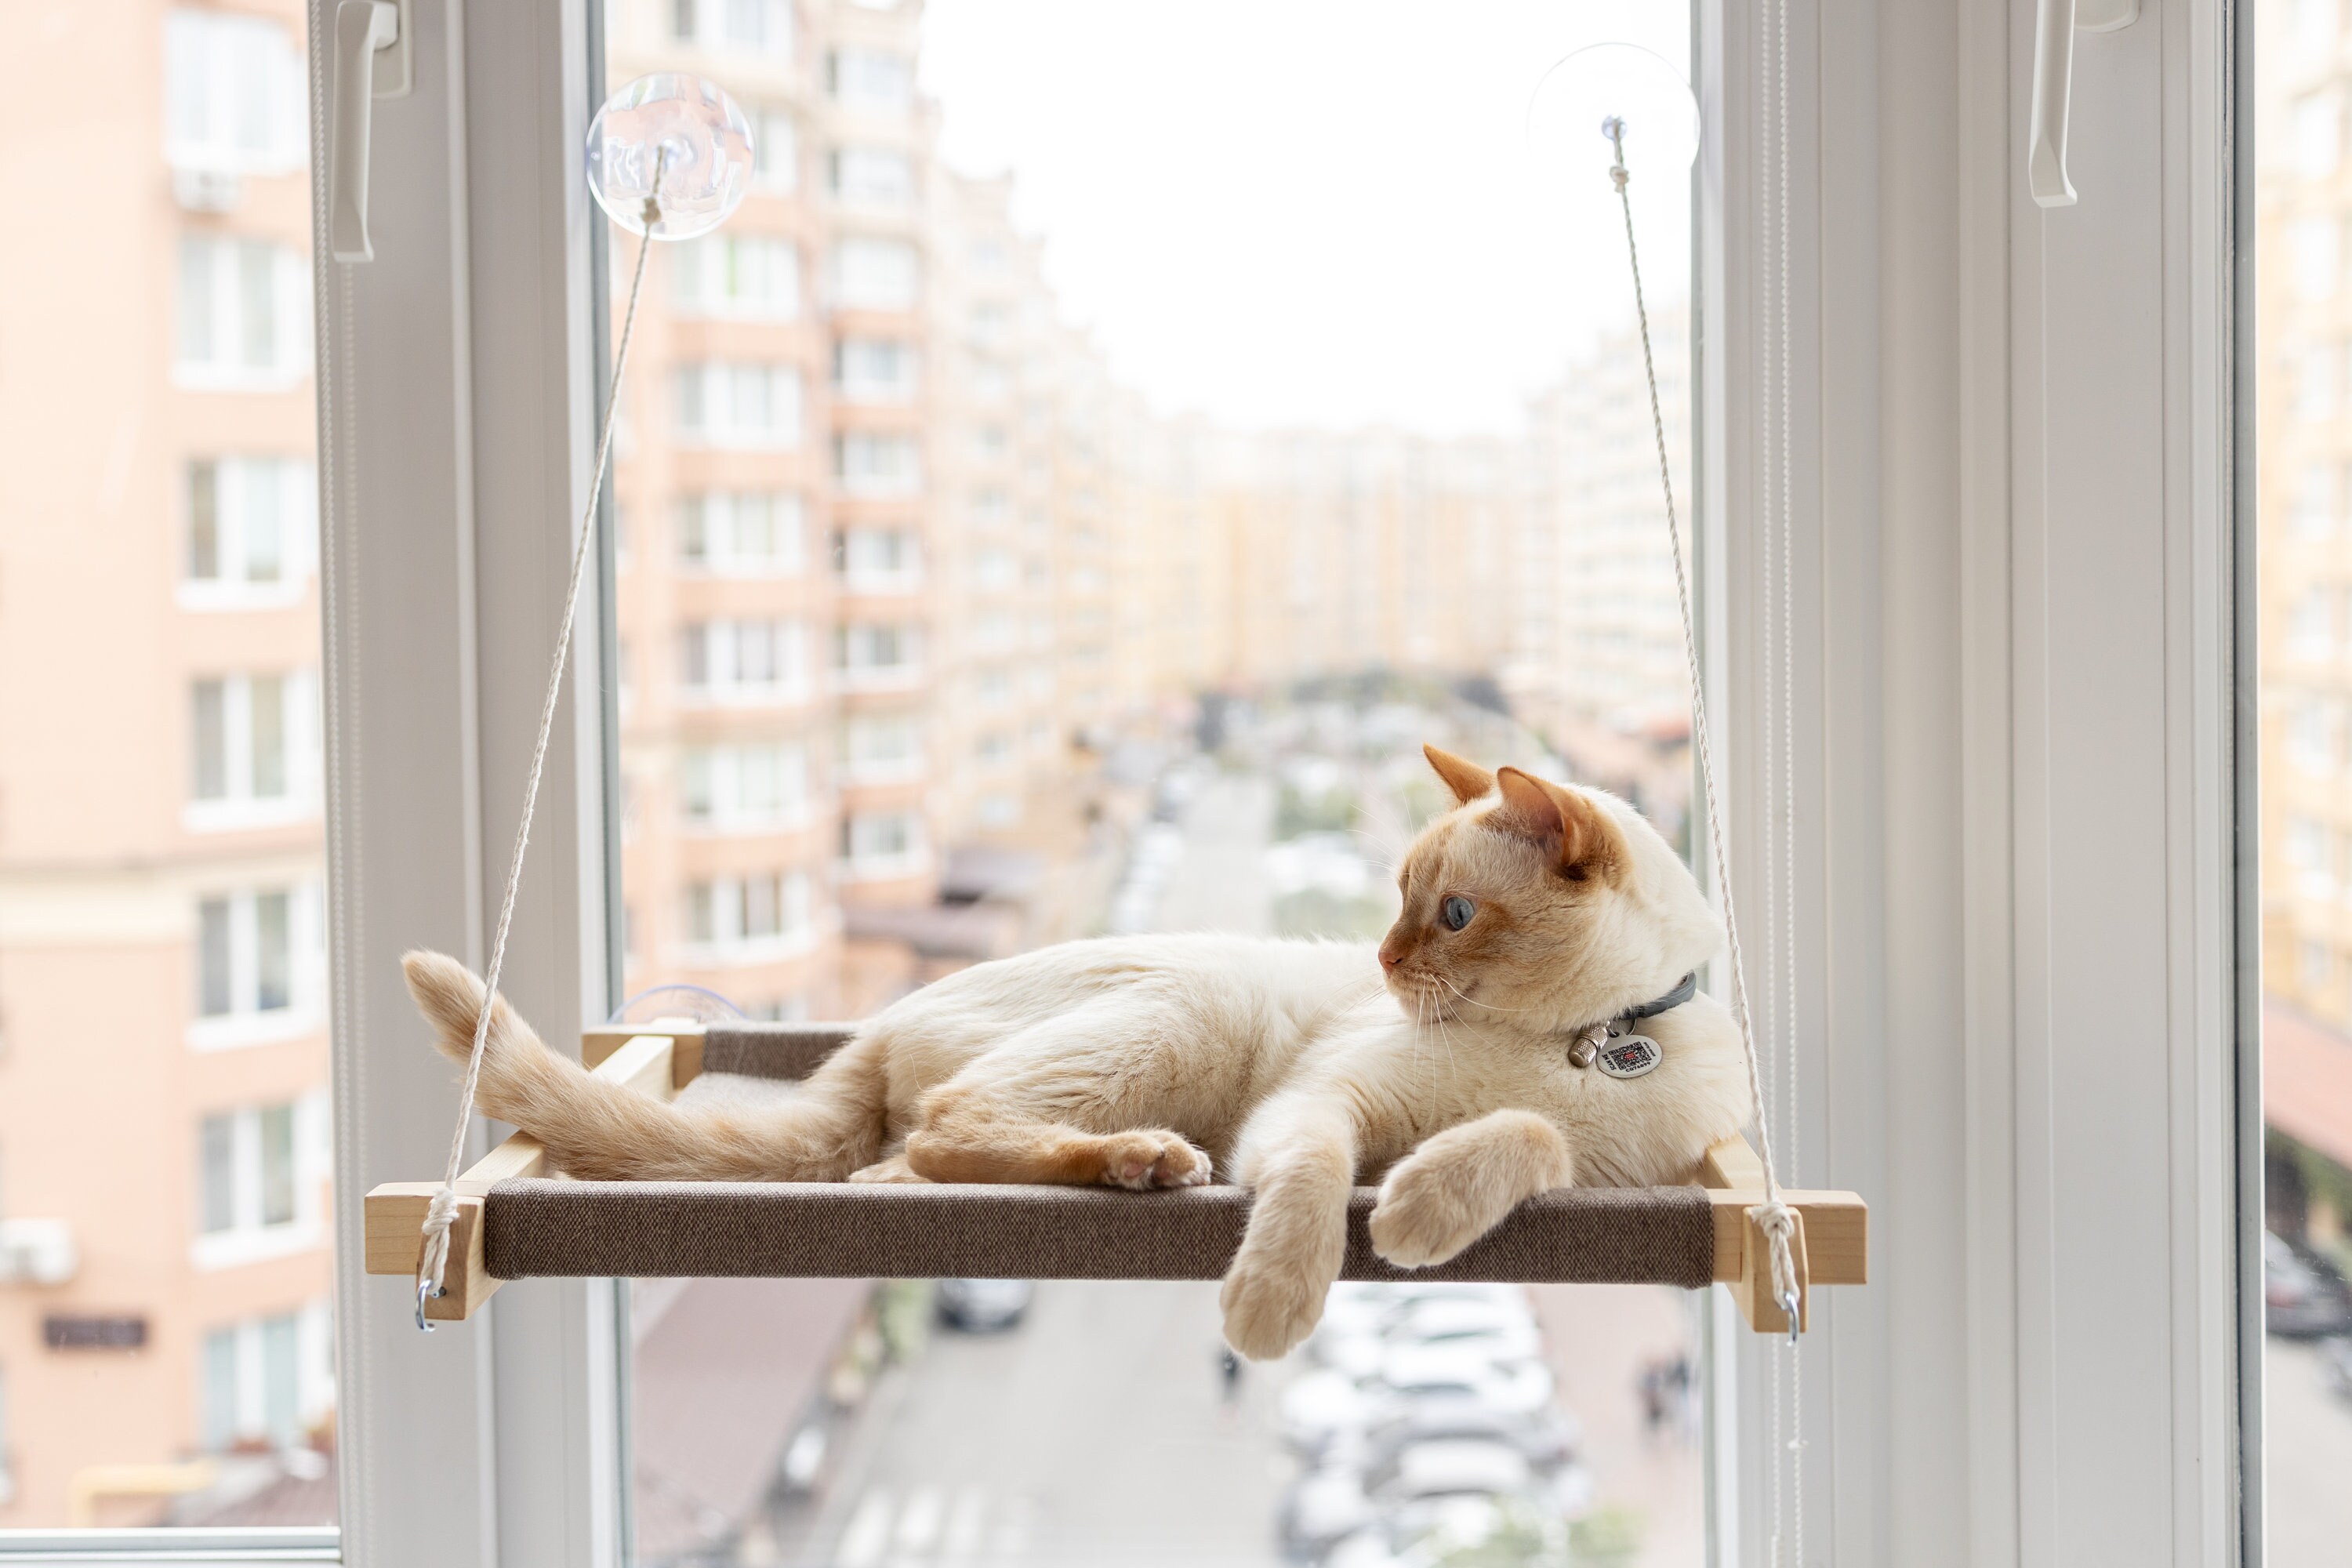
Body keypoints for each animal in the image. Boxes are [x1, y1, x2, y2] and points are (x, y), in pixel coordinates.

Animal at [405, 747, 1759, 1363]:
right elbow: (1317, 1189)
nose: (1382, 961)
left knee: (898, 1162)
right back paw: (1144, 1164)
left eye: (1457, 914)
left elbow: (1520, 1140)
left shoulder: (1623, 1174)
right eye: (1398, 898)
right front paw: (1275, 1306)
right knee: (950, 1125)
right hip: (1187, 1015)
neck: (1580, 1041)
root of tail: (879, 1022)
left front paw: (1425, 1206)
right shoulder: (1320, 1107)